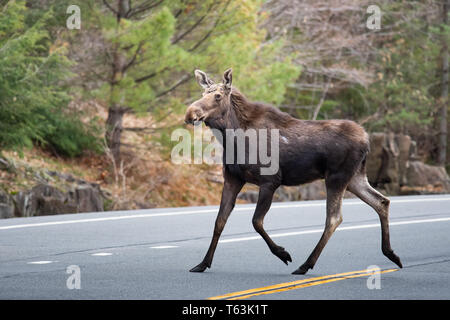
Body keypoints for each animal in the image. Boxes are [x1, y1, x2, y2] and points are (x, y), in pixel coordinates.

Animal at [185, 69, 402, 274]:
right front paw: (203, 263)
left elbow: (256, 221)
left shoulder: (270, 180)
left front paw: (283, 253)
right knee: (381, 201)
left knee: (334, 218)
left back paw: (305, 265)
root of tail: (367, 140)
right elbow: (219, 221)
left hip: (337, 177)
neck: (232, 139)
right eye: (203, 93)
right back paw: (391, 254)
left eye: (218, 96)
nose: (190, 113)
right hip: (354, 178)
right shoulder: (233, 179)